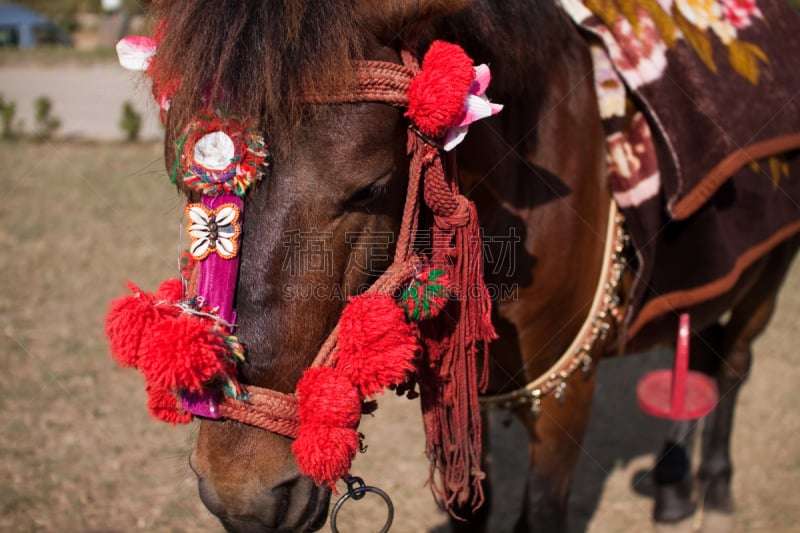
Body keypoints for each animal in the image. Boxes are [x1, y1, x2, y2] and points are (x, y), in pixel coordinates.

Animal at [144, 0, 800, 528]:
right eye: (187, 183)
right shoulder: (465, 396)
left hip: (770, 272)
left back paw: (713, 484)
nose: (240, 495)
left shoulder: (567, 391)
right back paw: (671, 486)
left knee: (733, 364)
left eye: (371, 187)